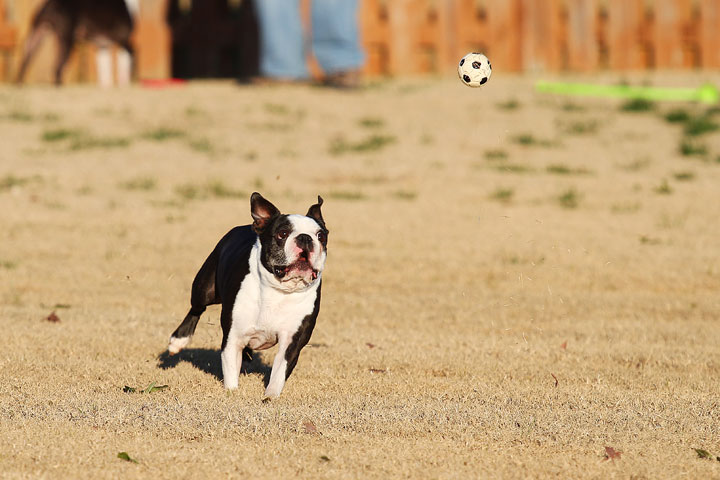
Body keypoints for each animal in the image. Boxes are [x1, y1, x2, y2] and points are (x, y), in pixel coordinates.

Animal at [167, 192, 328, 398]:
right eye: (282, 234)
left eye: (321, 236)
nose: (305, 238)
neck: (278, 290)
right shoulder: (233, 337)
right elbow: (230, 369)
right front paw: (232, 392)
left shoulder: (292, 342)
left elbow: (279, 372)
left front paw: (270, 397)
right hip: (205, 288)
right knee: (197, 308)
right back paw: (178, 341)